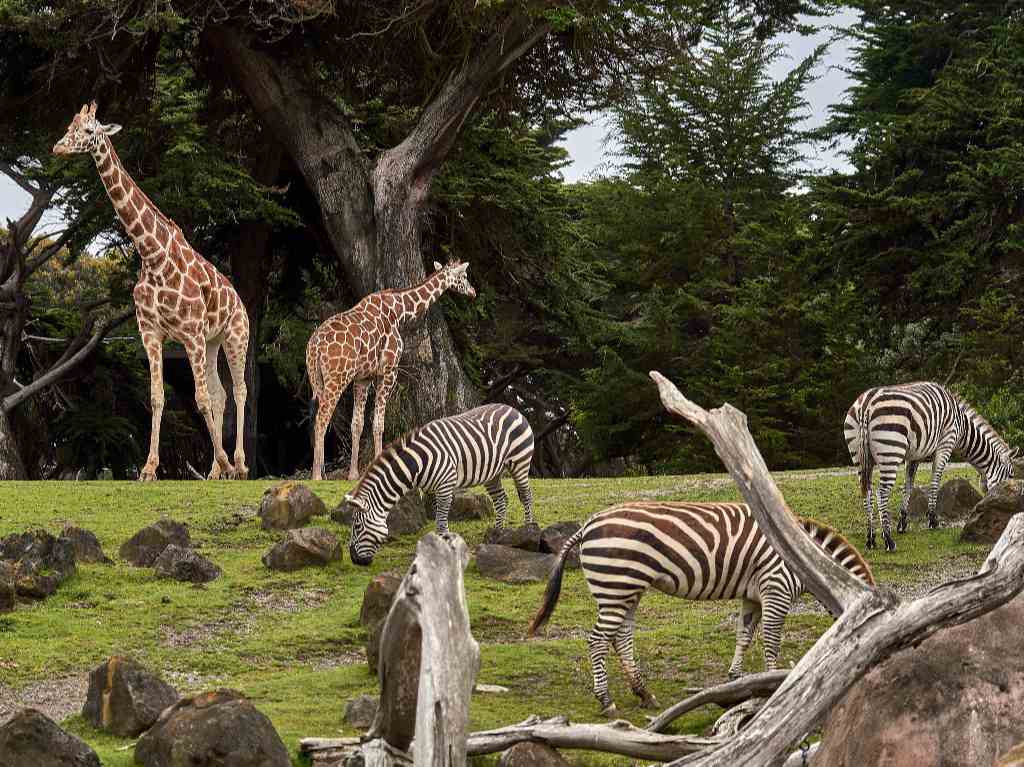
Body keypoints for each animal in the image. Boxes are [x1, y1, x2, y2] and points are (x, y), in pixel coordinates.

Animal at [54, 101, 249, 479]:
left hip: (235, 336)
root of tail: (240, 301)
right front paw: (148, 468)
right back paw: (216, 471)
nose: (57, 147)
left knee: (239, 389)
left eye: (89, 130)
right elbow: (158, 396)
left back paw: (239, 464)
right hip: (213, 341)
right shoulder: (151, 332)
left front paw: (222, 460)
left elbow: (200, 398)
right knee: (221, 393)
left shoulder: (189, 333)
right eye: (69, 125)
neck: (152, 254)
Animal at [305, 262, 477, 479]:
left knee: (316, 419)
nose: (473, 292)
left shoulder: (363, 378)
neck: (400, 310)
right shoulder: (388, 371)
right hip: (337, 378)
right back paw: (317, 476)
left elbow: (357, 424)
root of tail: (314, 345)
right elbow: (379, 424)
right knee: (321, 419)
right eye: (464, 276)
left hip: (318, 379)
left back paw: (321, 471)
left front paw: (353, 474)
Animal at [346, 403, 536, 565]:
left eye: (357, 526)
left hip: (520, 461)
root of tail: (512, 408)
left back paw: (527, 531)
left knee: (526, 495)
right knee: (501, 499)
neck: (418, 463)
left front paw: (445, 549)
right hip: (492, 473)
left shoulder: (445, 486)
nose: (354, 560)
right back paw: (497, 535)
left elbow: (441, 521)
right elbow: (438, 517)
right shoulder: (430, 490)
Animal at [528, 499, 872, 716]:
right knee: (598, 640)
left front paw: (736, 678)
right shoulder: (776, 589)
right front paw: (775, 683)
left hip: (625, 589)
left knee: (620, 638)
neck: (806, 561)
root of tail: (587, 524)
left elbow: (744, 635)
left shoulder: (753, 595)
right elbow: (771, 642)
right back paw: (606, 700)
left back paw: (643, 693)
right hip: (617, 584)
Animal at [839, 380, 1015, 548]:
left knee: (866, 491)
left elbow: (908, 486)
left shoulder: (915, 455)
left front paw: (902, 523)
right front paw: (932, 520)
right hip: (891, 450)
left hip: (859, 455)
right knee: (881, 493)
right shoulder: (945, 443)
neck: (962, 427)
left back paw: (871, 539)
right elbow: (935, 481)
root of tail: (865, 405)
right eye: (1011, 476)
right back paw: (888, 540)